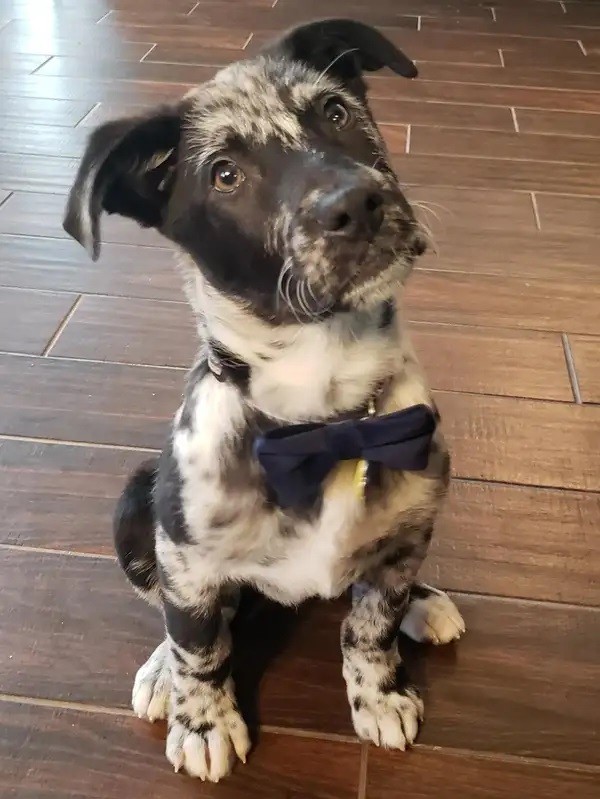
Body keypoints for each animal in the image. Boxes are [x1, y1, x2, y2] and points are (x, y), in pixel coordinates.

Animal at [65, 17, 466, 780]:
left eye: (335, 112)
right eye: (225, 174)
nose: (356, 203)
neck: (324, 418)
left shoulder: (410, 526)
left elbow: (368, 622)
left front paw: (380, 692)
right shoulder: (187, 564)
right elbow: (199, 643)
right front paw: (202, 720)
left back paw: (424, 604)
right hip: (135, 507)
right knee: (176, 617)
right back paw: (160, 673)